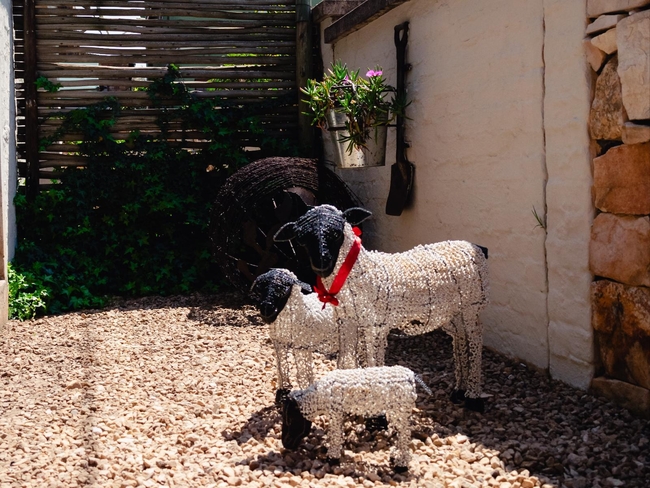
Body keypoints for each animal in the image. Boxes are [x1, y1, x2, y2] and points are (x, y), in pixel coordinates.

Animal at [249, 269, 337, 404]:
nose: (266, 309)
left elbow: (303, 374)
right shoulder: (279, 343)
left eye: (283, 288)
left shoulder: (302, 346)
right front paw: (282, 392)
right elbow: (281, 369)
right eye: (261, 288)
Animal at [274, 204, 489, 412]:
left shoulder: (375, 326)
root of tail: (477, 247)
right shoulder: (347, 322)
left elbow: (373, 362)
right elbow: (346, 361)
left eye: (336, 234)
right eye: (301, 240)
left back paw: (473, 397)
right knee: (460, 339)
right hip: (453, 312)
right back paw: (459, 390)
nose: (321, 262)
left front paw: (377, 409)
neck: (364, 274)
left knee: (475, 341)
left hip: (473, 306)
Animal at [281, 365, 431, 471]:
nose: (286, 443)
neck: (319, 396)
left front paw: (332, 458)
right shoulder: (339, 413)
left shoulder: (335, 412)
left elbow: (335, 434)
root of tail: (411, 376)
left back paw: (401, 465)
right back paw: (395, 457)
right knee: (402, 434)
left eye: (290, 419)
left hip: (400, 411)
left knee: (405, 434)